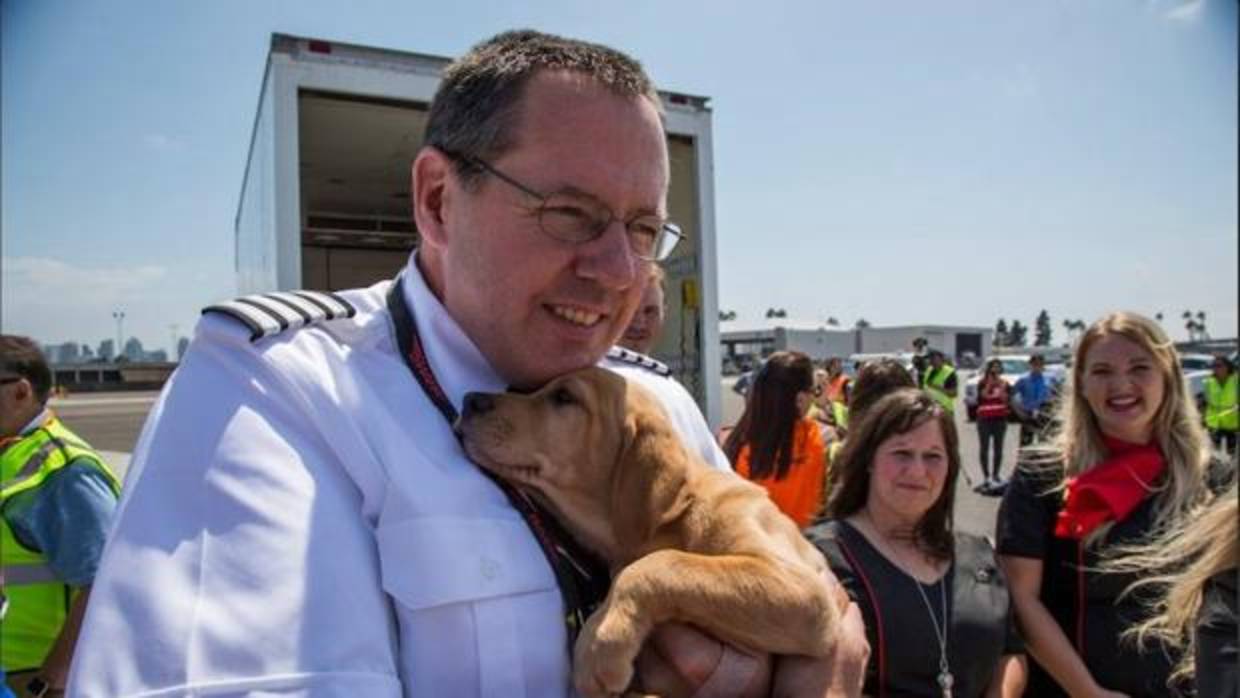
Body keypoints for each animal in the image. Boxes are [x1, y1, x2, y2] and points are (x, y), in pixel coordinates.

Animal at [458, 369, 843, 694]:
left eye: (564, 397)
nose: (469, 400)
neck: (676, 517)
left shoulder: (802, 589)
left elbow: (661, 563)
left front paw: (599, 642)